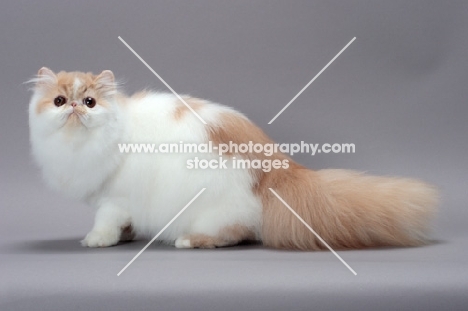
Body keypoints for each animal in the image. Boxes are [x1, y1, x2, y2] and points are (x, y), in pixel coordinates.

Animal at [28, 68, 438, 251]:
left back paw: (188, 241)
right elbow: (125, 224)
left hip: (213, 209)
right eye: (60, 101)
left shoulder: (114, 200)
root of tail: (279, 170)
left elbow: (106, 223)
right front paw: (127, 237)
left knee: (232, 233)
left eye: (90, 102)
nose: (75, 109)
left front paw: (97, 240)